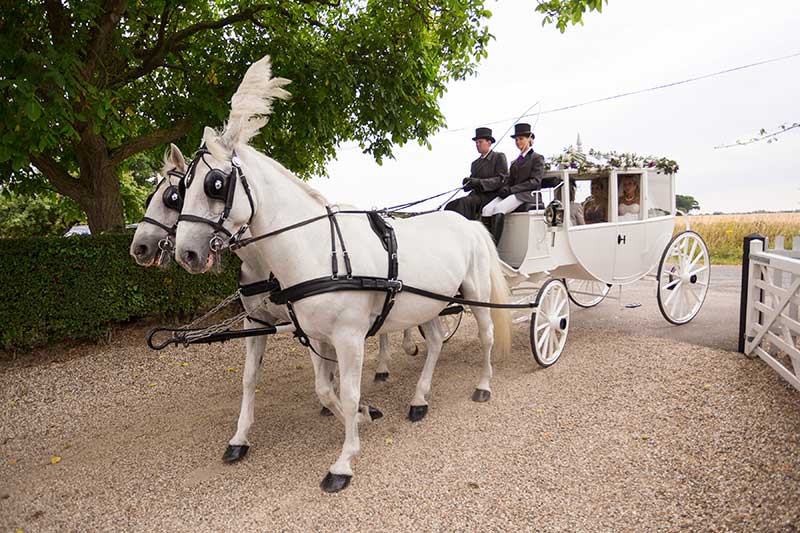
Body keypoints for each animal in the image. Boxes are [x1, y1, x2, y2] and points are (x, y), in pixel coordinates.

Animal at [173, 55, 511, 492]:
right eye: (181, 188)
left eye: (215, 184)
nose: (185, 252)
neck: (319, 249)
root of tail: (466, 221)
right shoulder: (315, 334)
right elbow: (324, 389)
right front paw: (367, 415)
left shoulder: (349, 337)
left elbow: (347, 392)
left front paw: (344, 461)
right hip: (428, 304)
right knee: (436, 341)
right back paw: (419, 399)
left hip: (474, 293)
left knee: (486, 335)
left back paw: (483, 385)